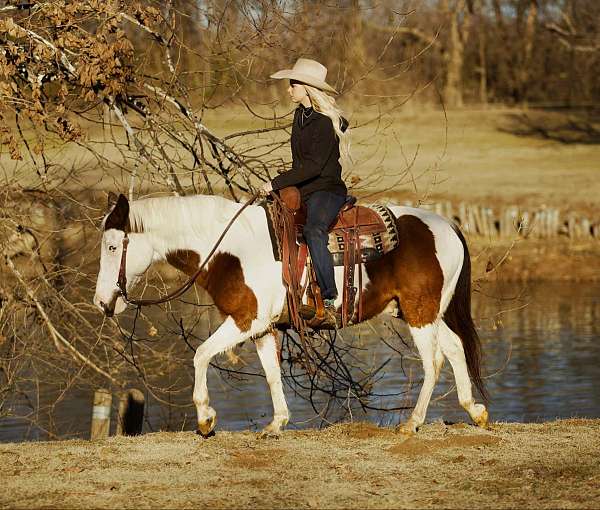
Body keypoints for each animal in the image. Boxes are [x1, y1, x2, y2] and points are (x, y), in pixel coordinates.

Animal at [92, 191, 488, 438]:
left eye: (112, 247)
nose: (102, 302)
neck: (229, 250)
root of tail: (447, 225)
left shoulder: (245, 320)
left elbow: (201, 354)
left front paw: (205, 418)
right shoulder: (262, 328)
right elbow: (271, 375)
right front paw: (277, 423)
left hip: (421, 312)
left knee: (433, 361)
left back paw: (413, 422)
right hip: (422, 312)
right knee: (454, 348)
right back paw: (475, 410)